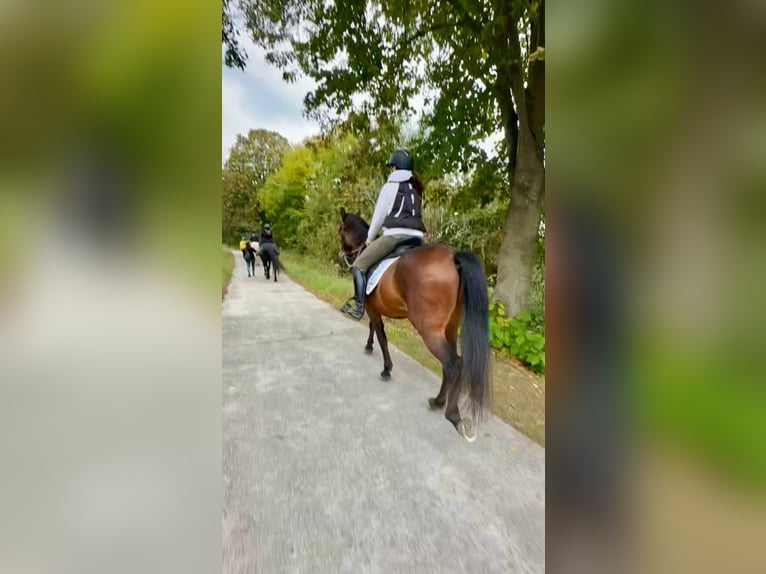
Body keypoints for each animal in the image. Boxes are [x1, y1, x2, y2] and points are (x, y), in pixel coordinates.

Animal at [338, 207, 491, 442]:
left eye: (340, 230)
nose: (342, 255)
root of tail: (453, 258)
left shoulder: (373, 309)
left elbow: (382, 337)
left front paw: (386, 369)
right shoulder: (376, 308)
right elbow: (374, 329)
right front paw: (369, 346)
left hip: (429, 330)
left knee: (453, 364)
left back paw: (449, 412)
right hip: (450, 328)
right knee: (453, 363)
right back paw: (439, 402)